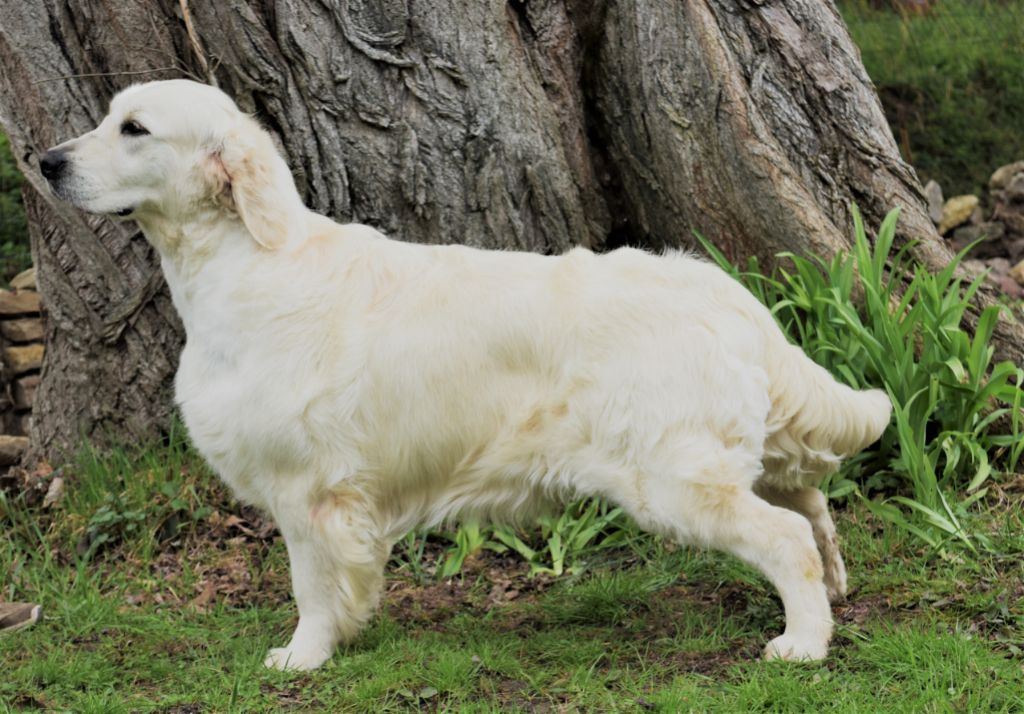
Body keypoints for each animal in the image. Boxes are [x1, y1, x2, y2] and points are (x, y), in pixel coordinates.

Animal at [40, 79, 891, 671]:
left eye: (135, 129)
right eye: (107, 117)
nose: (46, 161)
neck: (246, 259)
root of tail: (718, 287)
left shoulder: (307, 489)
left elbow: (310, 586)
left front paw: (303, 656)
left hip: (675, 476)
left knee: (786, 535)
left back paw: (803, 642)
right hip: (737, 451)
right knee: (812, 505)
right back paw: (834, 595)